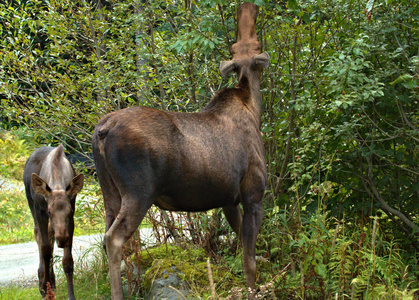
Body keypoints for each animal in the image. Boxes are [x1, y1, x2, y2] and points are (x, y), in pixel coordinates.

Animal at [24, 144, 85, 298]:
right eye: (49, 211)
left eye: (70, 212)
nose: (62, 239)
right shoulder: (40, 210)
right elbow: (45, 248)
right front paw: (45, 290)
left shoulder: (71, 216)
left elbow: (67, 260)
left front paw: (71, 295)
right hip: (30, 203)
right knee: (38, 236)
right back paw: (43, 283)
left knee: (49, 234)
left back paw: (51, 282)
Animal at [91, 1, 270, 298]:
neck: (253, 107)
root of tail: (102, 131)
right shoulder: (253, 193)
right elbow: (250, 260)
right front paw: (253, 288)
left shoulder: (229, 200)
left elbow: (243, 245)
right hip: (139, 191)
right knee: (113, 238)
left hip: (109, 191)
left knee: (106, 236)